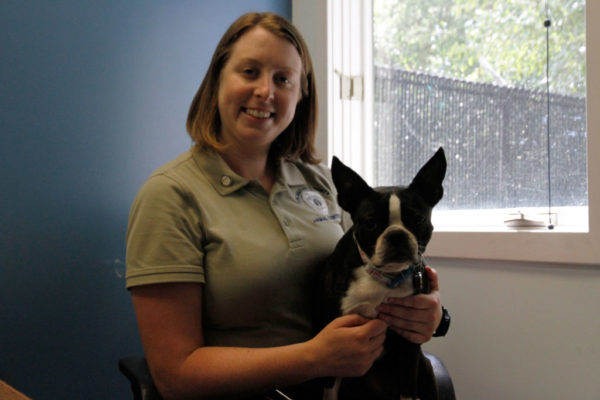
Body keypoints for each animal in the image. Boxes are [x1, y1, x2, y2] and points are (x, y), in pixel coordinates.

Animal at [314, 148, 446, 400]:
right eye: (370, 223)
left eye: (418, 219)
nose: (396, 235)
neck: (385, 277)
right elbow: (329, 390)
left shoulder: (410, 340)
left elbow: (408, 390)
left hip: (425, 366)